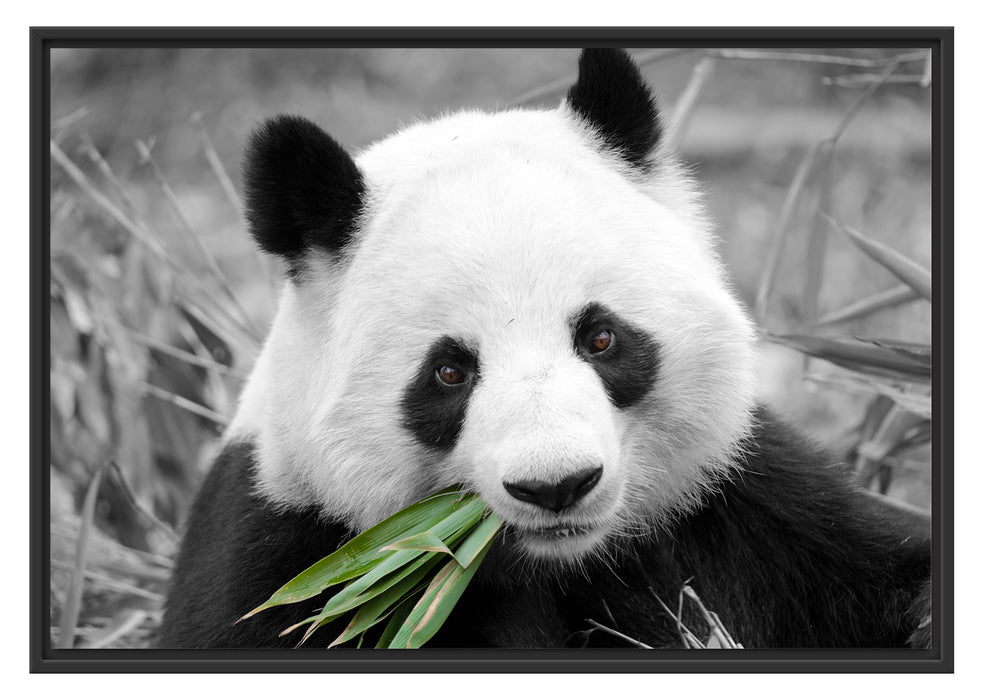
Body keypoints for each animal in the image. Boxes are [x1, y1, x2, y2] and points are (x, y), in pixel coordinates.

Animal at [158, 48, 931, 649]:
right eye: (449, 372)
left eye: (601, 337)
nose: (557, 485)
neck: (562, 563)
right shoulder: (293, 553)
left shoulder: (749, 504)